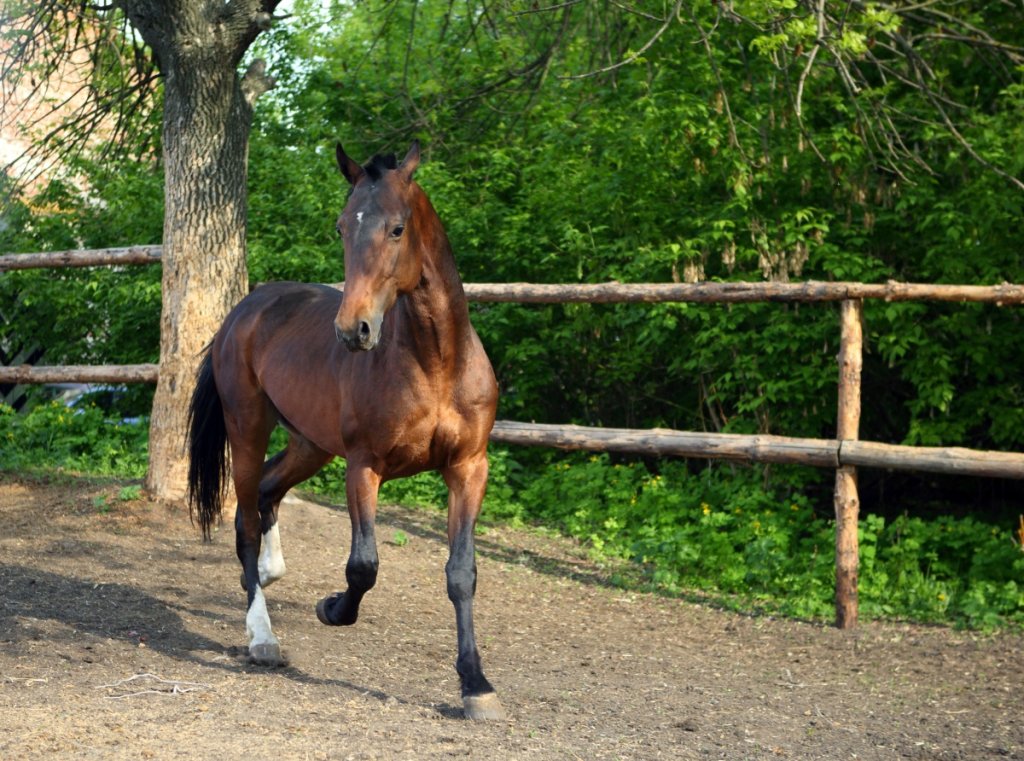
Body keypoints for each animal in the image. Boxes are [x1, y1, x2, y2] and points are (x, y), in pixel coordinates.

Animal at [185, 141, 504, 721]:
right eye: (340, 227)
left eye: (397, 228)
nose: (354, 330)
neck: (436, 365)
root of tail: (244, 310)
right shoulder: (364, 467)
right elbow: (363, 566)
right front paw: (333, 608)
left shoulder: (468, 469)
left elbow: (461, 573)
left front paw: (476, 686)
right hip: (249, 429)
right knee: (245, 520)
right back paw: (262, 637)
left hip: (309, 445)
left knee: (266, 494)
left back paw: (268, 572)